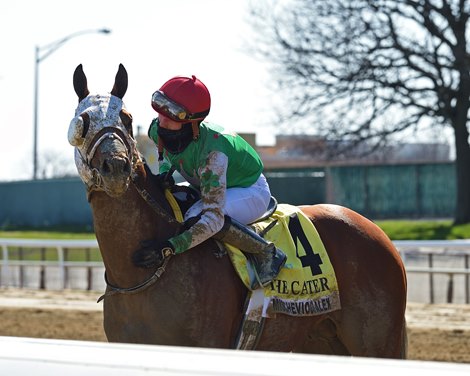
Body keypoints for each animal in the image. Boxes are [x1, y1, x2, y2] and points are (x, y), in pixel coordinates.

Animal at [70, 64, 408, 358]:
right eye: (82, 122)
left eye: (126, 119)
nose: (115, 166)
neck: (135, 275)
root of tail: (379, 234)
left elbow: (212, 219)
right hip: (322, 339)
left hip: (378, 342)